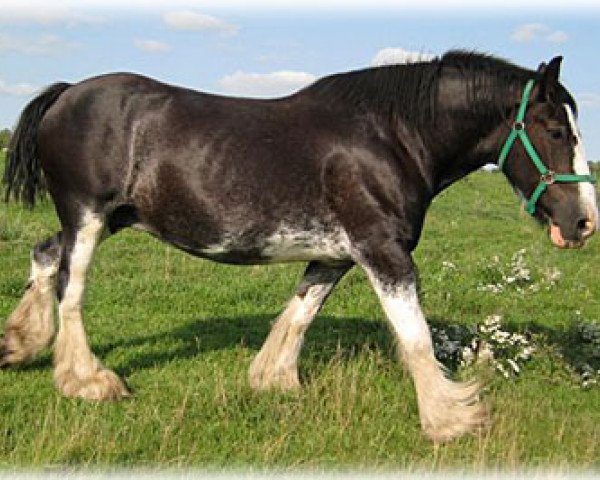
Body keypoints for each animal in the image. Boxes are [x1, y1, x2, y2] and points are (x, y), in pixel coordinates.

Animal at [0, 49, 596, 442]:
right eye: (554, 129)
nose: (584, 222)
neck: (392, 137)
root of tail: (67, 93)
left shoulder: (335, 256)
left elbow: (299, 314)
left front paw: (273, 379)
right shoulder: (383, 251)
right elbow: (416, 337)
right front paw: (451, 418)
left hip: (109, 219)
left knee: (45, 254)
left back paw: (18, 343)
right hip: (88, 217)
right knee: (71, 287)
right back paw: (87, 381)